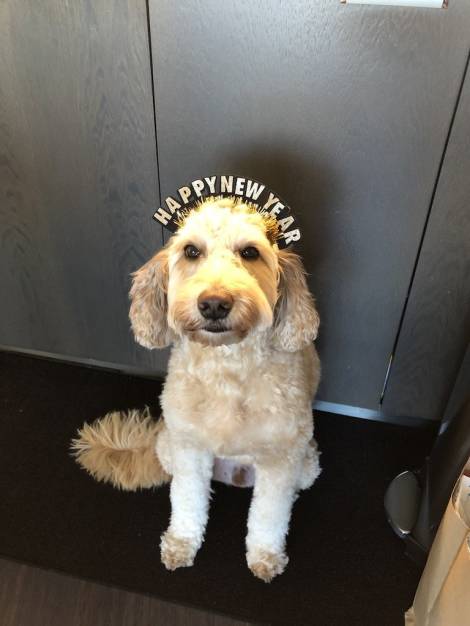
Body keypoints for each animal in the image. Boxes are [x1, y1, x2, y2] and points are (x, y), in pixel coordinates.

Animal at [72, 197, 321, 582]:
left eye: (250, 252)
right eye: (191, 251)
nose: (215, 303)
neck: (227, 367)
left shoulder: (281, 458)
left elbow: (270, 514)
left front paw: (265, 555)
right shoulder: (189, 448)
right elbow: (187, 500)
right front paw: (181, 543)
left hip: (308, 463)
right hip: (169, 446)